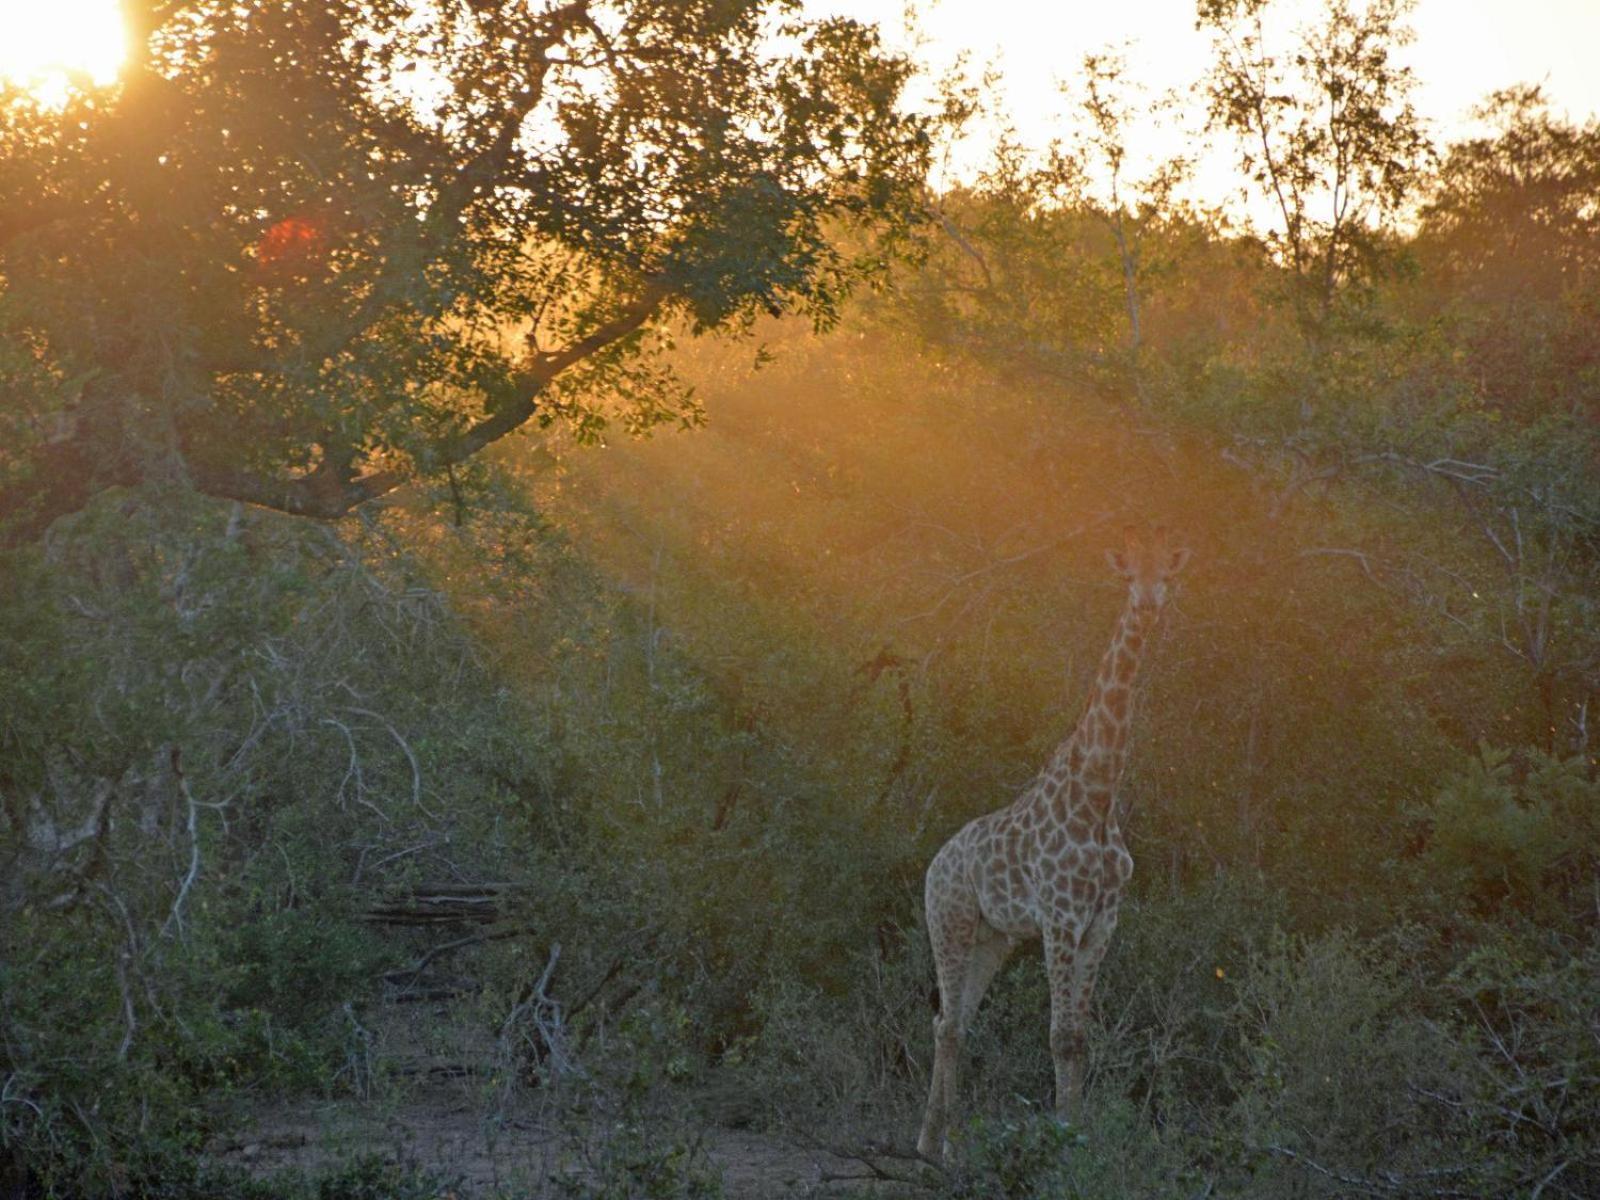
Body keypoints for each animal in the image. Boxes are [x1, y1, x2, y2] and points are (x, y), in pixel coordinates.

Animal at [915, 524, 1190, 1158]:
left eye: (1166, 572)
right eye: (1128, 572)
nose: (1148, 603)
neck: (1098, 794)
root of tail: (935, 863)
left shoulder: (1103, 920)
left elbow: (1080, 1036)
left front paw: (1081, 1133)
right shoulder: (1061, 916)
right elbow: (1061, 1034)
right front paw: (1065, 1141)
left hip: (992, 938)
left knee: (954, 1020)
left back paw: (939, 1142)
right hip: (949, 920)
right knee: (948, 1022)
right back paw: (935, 1144)